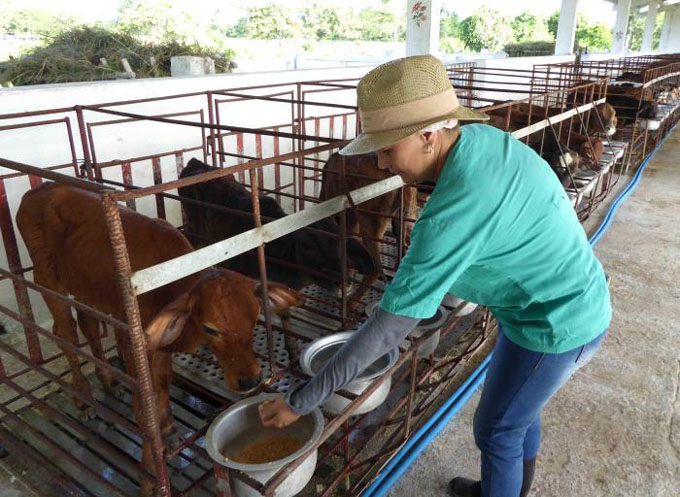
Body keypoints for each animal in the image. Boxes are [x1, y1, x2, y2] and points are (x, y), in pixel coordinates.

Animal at [15, 183, 302, 496]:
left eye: (255, 317)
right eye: (210, 328)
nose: (251, 380)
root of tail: (41, 189)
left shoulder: (161, 346)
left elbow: (163, 384)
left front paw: (167, 429)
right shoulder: (132, 344)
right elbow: (145, 407)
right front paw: (150, 474)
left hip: (85, 287)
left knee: (88, 326)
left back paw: (107, 381)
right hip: (47, 280)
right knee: (64, 333)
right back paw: (83, 398)